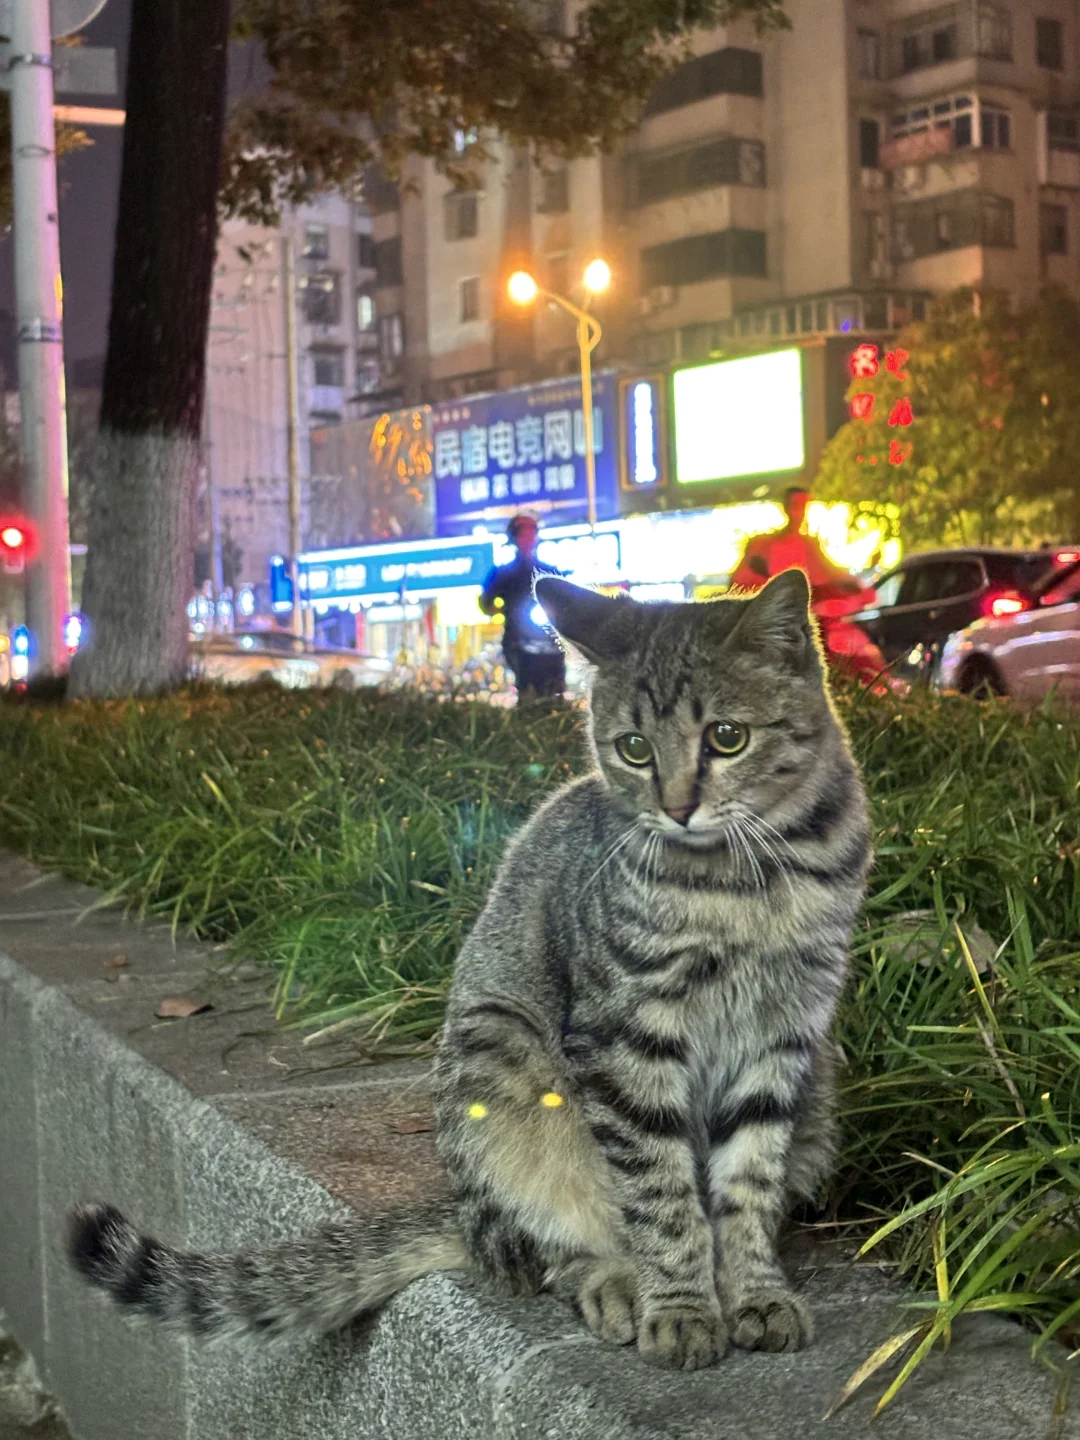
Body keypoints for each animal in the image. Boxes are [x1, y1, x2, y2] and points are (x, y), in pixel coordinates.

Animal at [72, 570, 875, 1370]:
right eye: (635, 748)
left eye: (727, 737)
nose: (677, 809)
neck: (756, 882)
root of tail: (463, 1212)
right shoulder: (627, 1035)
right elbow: (661, 1190)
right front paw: (680, 1305)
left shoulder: (785, 1034)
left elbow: (748, 1184)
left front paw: (755, 1292)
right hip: (502, 1058)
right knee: (549, 1240)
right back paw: (615, 1280)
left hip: (820, 1088)